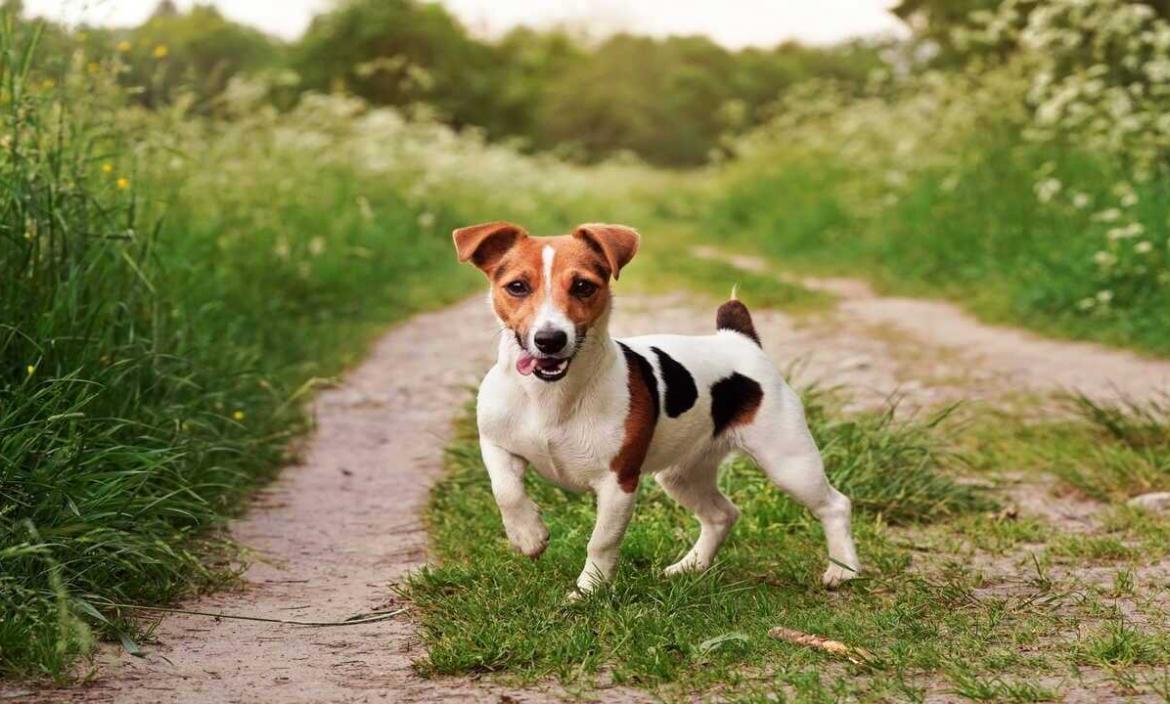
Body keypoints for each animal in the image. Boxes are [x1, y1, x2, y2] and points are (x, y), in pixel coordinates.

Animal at [451, 221, 865, 591]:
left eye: (583, 286)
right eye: (517, 287)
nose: (549, 339)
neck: (549, 394)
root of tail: (739, 340)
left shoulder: (618, 482)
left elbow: (601, 541)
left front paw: (588, 591)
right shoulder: (496, 443)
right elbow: (505, 490)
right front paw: (528, 535)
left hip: (788, 461)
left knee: (835, 505)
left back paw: (842, 569)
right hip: (682, 474)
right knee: (722, 515)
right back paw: (690, 566)